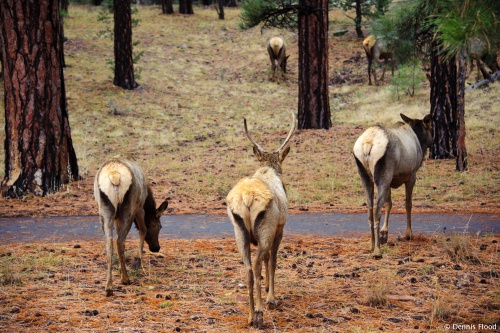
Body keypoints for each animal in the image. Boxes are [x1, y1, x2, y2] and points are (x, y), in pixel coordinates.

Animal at [94, 156, 169, 296]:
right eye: (160, 226)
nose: (156, 248)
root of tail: (115, 176)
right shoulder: (140, 207)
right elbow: (143, 230)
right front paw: (137, 262)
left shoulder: (118, 217)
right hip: (129, 207)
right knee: (120, 240)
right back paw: (125, 279)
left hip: (105, 210)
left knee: (110, 243)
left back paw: (109, 287)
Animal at [228, 113, 296, 326]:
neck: (268, 169)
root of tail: (247, 199)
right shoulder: (279, 228)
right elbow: (272, 260)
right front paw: (271, 297)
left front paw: (267, 290)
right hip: (266, 229)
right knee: (257, 265)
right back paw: (259, 310)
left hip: (239, 233)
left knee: (248, 269)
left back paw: (250, 316)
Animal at [352, 113, 434, 256]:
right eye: (430, 128)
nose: (432, 142)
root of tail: (368, 144)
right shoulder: (411, 176)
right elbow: (408, 204)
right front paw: (408, 234)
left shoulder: (390, 181)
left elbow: (389, 204)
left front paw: (384, 234)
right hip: (383, 175)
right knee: (377, 210)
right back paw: (377, 250)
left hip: (366, 177)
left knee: (369, 209)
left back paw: (372, 245)